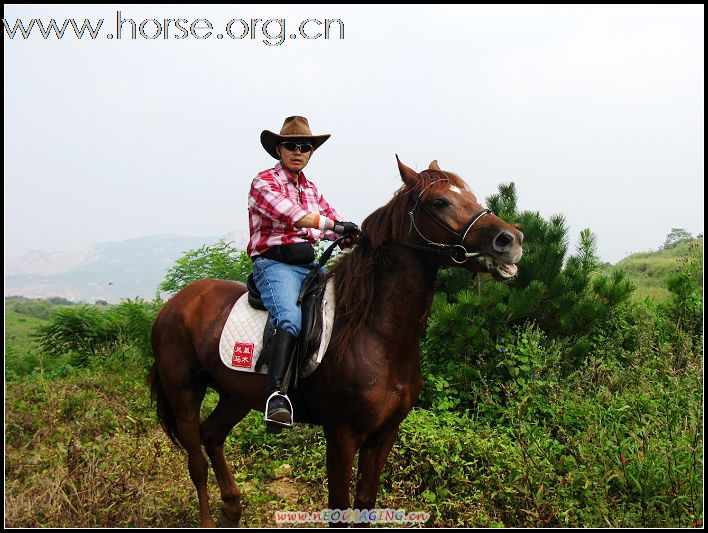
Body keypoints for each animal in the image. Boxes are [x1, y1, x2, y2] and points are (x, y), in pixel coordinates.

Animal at [149, 156, 524, 524]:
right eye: (440, 202)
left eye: (470, 196)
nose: (511, 240)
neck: (376, 334)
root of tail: (173, 304)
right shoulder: (342, 435)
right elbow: (340, 510)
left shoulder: (384, 434)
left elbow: (365, 502)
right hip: (184, 392)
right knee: (196, 460)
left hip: (235, 395)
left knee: (212, 437)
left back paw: (232, 508)